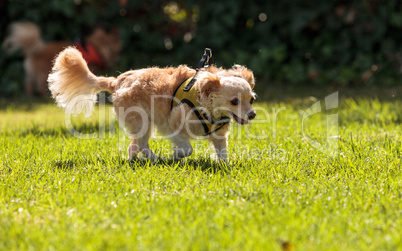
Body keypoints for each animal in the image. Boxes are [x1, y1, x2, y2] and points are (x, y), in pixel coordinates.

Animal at [47, 47, 254, 162]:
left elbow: (222, 153)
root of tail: (117, 81)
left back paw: (135, 160)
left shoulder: (219, 136)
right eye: (235, 101)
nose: (252, 115)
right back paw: (156, 159)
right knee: (142, 145)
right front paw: (176, 156)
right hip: (142, 121)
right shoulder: (173, 125)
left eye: (251, 100)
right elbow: (187, 148)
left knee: (134, 146)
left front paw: (226, 167)